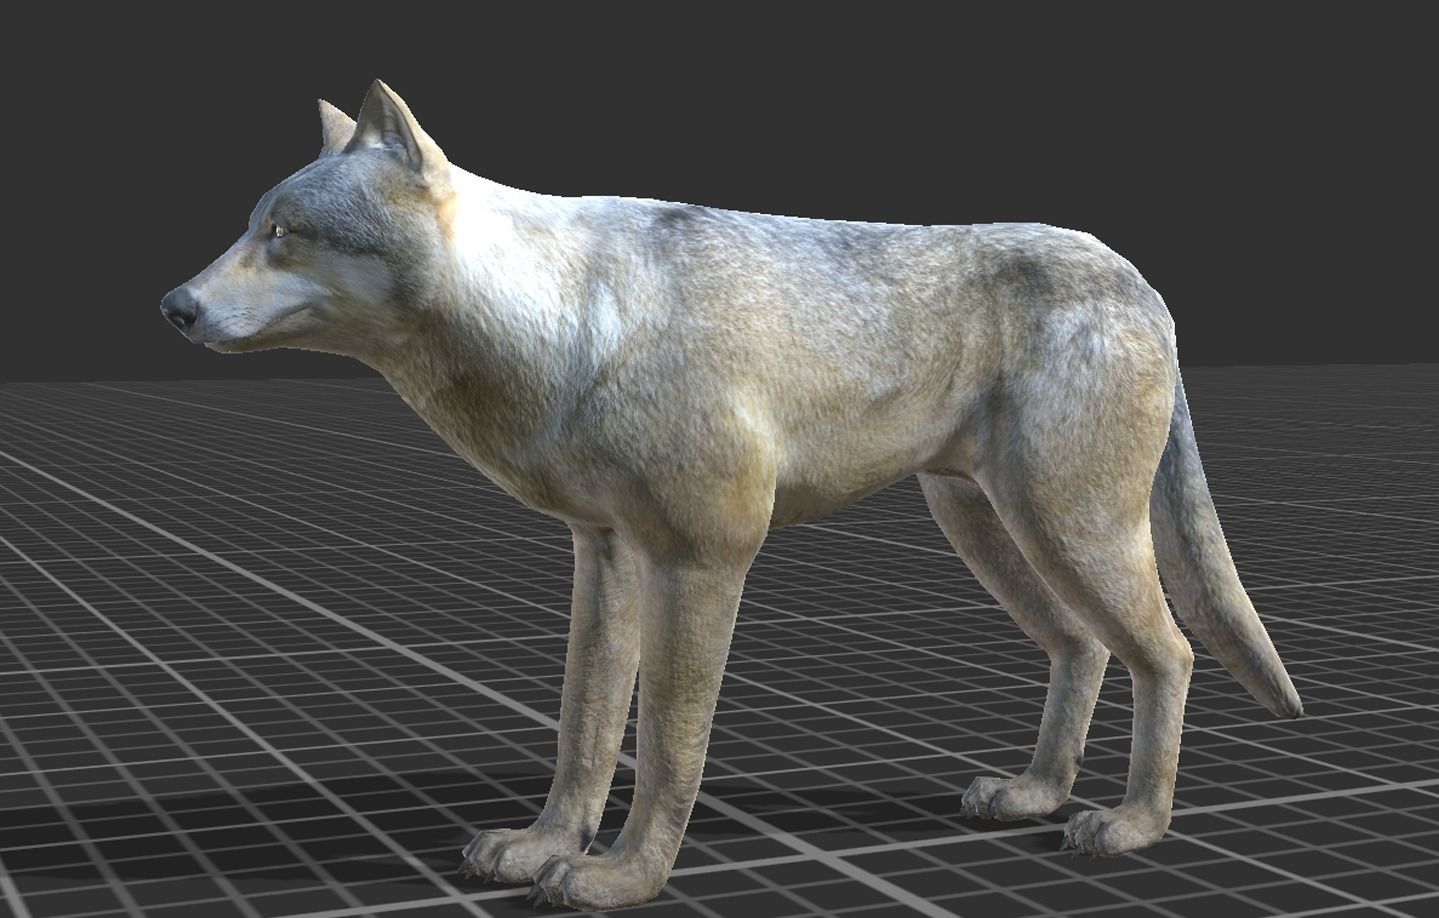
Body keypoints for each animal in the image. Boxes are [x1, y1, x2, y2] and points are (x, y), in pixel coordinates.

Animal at [161, 80, 1303, 910]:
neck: (571, 323)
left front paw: (623, 878)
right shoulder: (606, 555)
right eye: (252, 225)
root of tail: (1138, 278)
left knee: (1168, 652)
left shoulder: (703, 561)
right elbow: (583, 733)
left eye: (284, 231)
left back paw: (1131, 824)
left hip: (1071, 529)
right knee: (1083, 648)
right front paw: (542, 847)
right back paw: (1034, 794)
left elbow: (669, 744)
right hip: (992, 528)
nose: (173, 304)